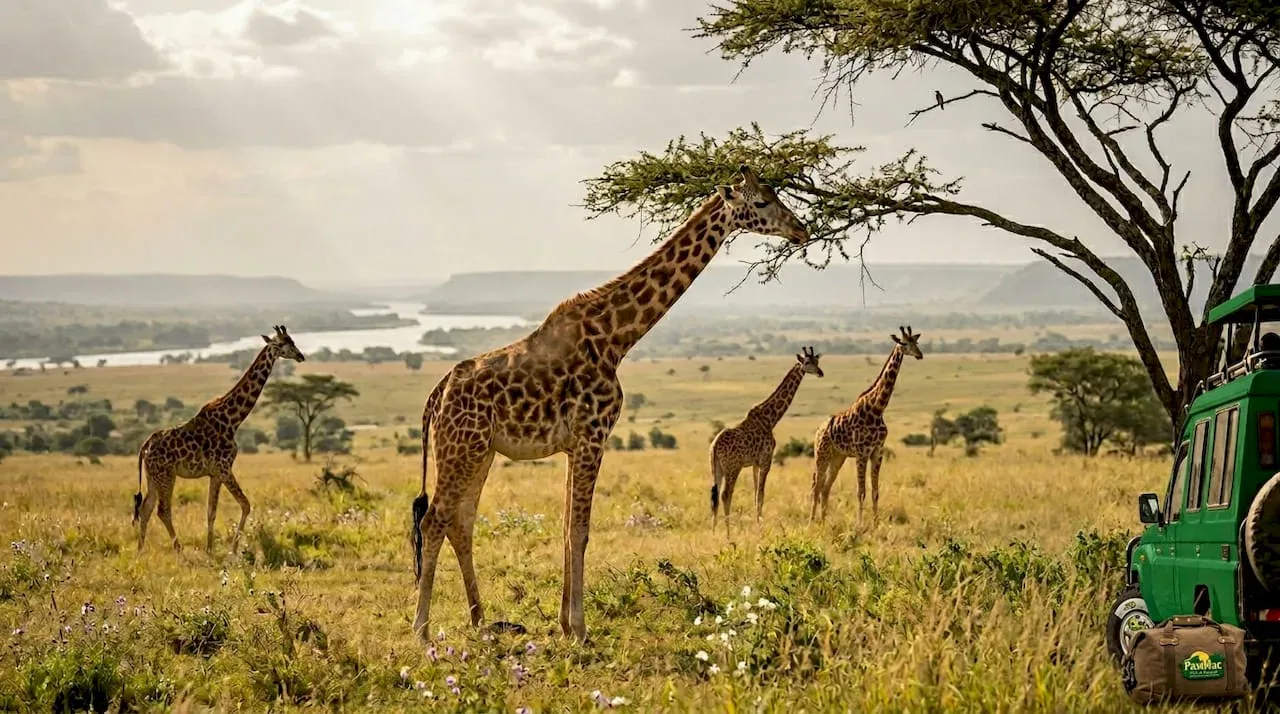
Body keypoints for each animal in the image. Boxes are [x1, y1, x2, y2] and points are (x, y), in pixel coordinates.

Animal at [132, 325, 305, 553]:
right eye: (284, 343)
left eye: (293, 341)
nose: (301, 356)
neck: (233, 419)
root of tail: (145, 447)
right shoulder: (224, 467)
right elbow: (245, 504)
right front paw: (233, 549)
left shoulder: (214, 473)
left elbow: (211, 511)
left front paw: (210, 549)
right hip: (166, 475)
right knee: (163, 510)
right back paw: (179, 550)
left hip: (153, 476)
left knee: (146, 508)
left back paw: (140, 550)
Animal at [409, 166, 810, 644]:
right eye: (763, 201)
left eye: (776, 194)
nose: (801, 229)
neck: (617, 338)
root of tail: (437, 395)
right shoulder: (592, 436)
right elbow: (580, 530)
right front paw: (580, 629)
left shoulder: (574, 444)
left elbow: (567, 528)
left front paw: (565, 624)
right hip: (460, 448)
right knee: (433, 520)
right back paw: (422, 629)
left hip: (480, 451)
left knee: (461, 521)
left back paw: (480, 619)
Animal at [709, 346, 823, 536]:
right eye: (807, 362)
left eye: (817, 361)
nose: (820, 372)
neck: (770, 419)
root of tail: (715, 446)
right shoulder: (766, 459)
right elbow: (761, 495)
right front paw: (760, 529)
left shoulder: (755, 463)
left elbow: (756, 494)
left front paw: (758, 524)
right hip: (733, 467)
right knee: (726, 494)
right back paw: (728, 533)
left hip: (716, 467)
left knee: (715, 494)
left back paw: (713, 531)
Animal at [810, 326, 923, 524]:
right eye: (903, 343)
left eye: (916, 342)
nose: (920, 355)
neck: (877, 408)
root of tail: (818, 430)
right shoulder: (862, 453)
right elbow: (860, 492)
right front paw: (860, 524)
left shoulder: (877, 452)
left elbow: (875, 491)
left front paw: (876, 523)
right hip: (821, 454)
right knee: (816, 486)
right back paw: (812, 521)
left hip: (838, 457)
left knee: (825, 487)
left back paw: (823, 521)